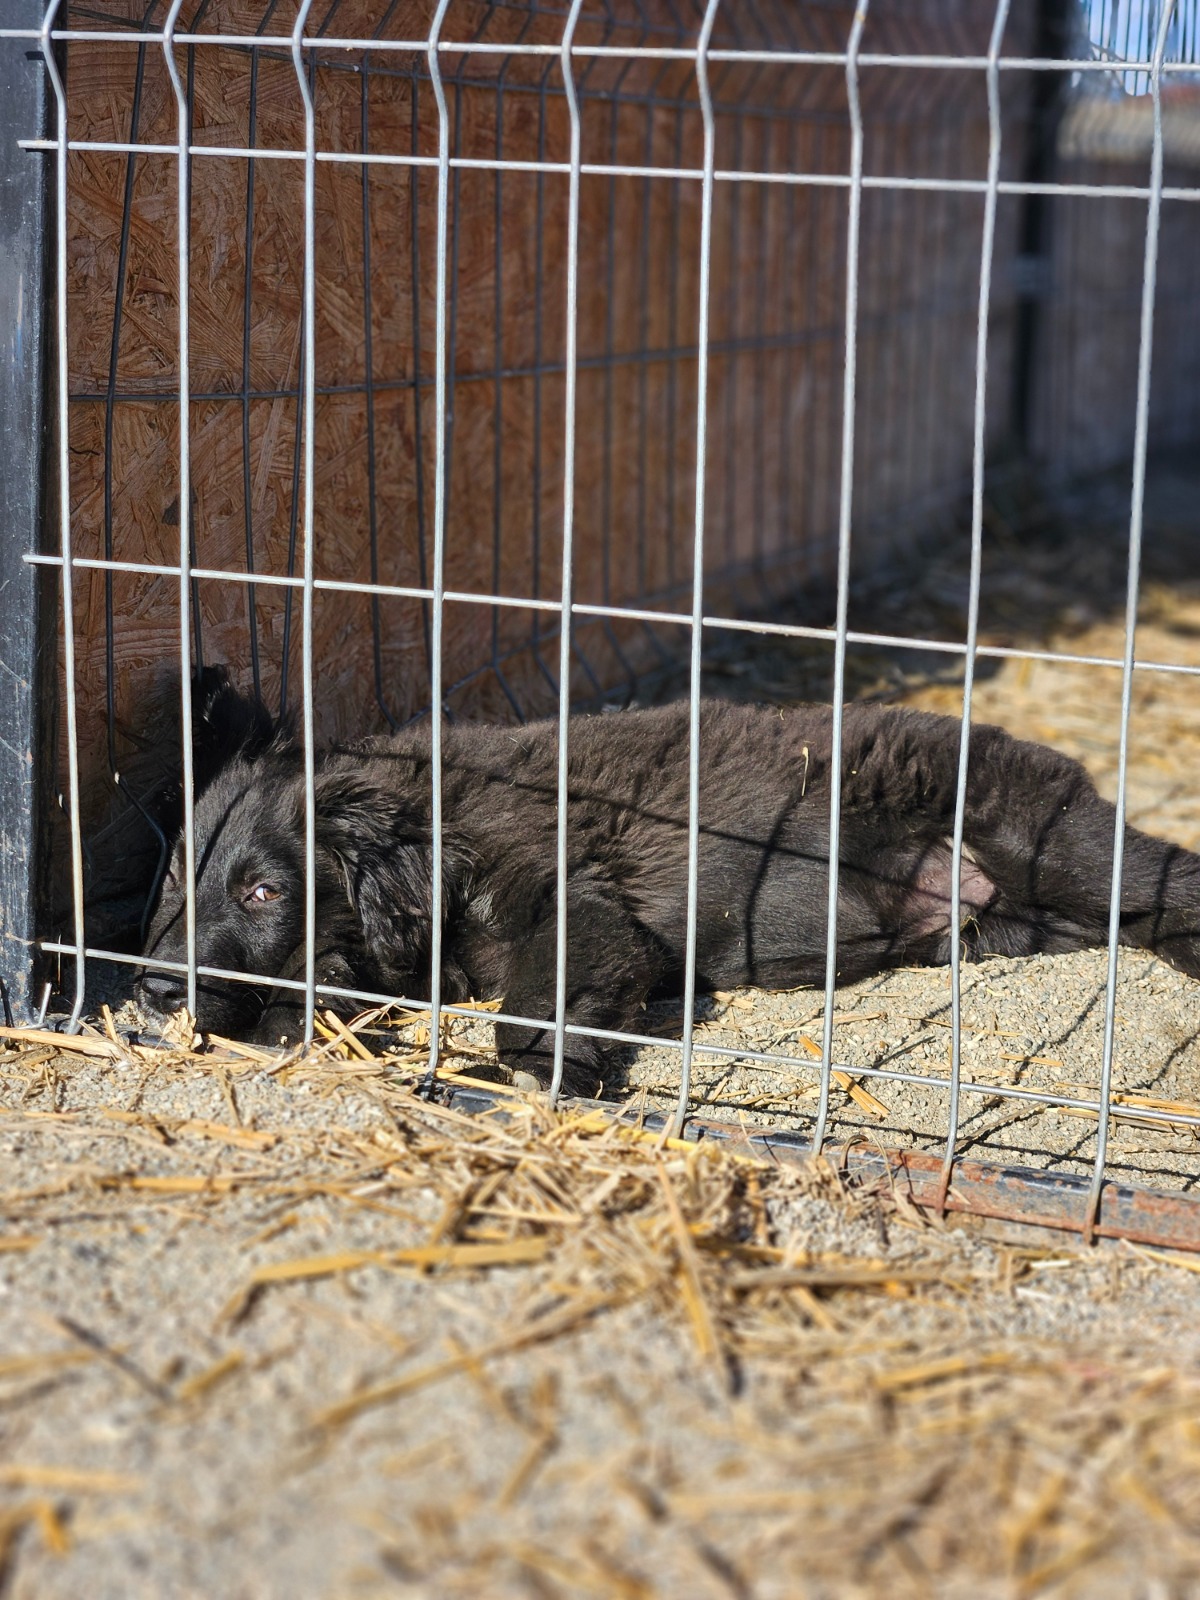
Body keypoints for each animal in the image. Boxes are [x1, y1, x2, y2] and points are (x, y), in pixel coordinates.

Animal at [138, 669, 1200, 1088]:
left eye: (265, 892)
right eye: (178, 882)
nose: (151, 991)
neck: (442, 828)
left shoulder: (582, 912)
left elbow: (529, 1010)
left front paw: (544, 1069)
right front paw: (307, 1003)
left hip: (1046, 839)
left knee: (1164, 878)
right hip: (1012, 924)